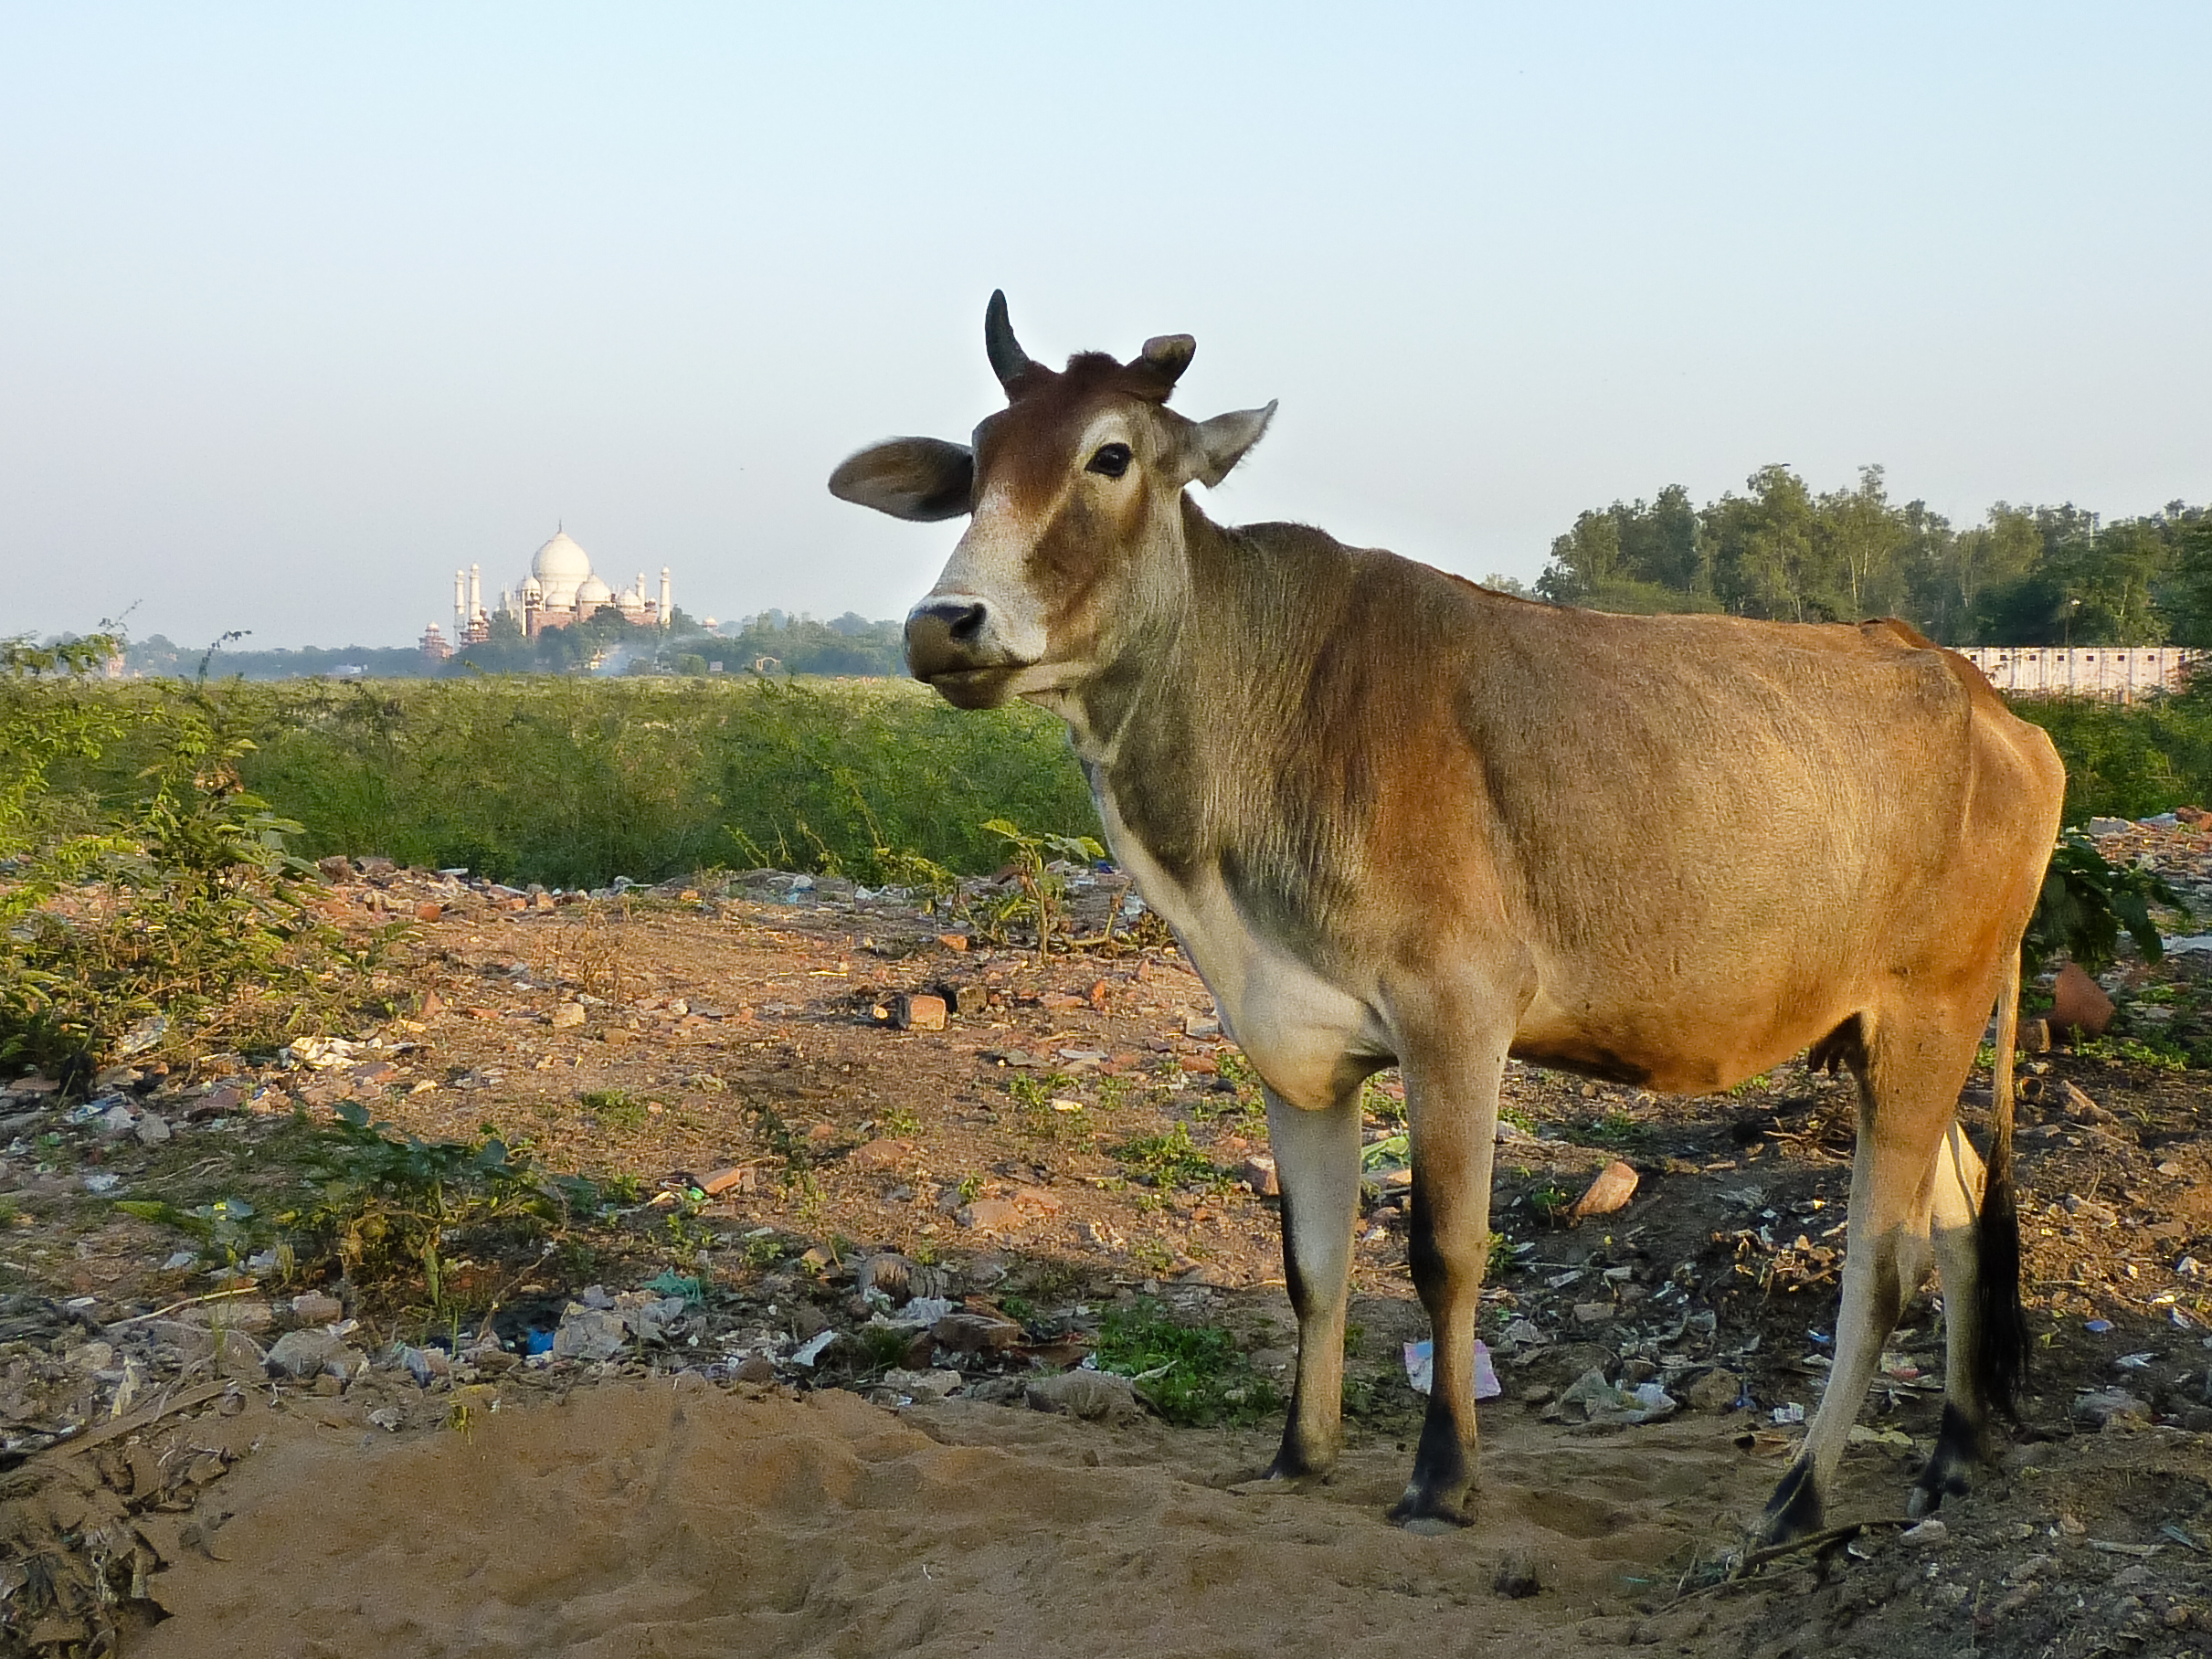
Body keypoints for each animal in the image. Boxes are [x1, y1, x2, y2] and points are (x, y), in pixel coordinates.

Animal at [827, 296, 2052, 1548]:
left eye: (1109, 455)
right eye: (979, 461)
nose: (945, 624)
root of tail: (1985, 695)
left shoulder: (1456, 1019)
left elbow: (1444, 1253)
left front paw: (1441, 1473)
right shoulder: (1288, 1042)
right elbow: (1313, 1262)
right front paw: (1299, 1453)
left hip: (1931, 1013)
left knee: (1884, 1262)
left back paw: (1799, 1494)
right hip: (1879, 1037)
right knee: (1962, 1209)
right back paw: (1952, 1454)